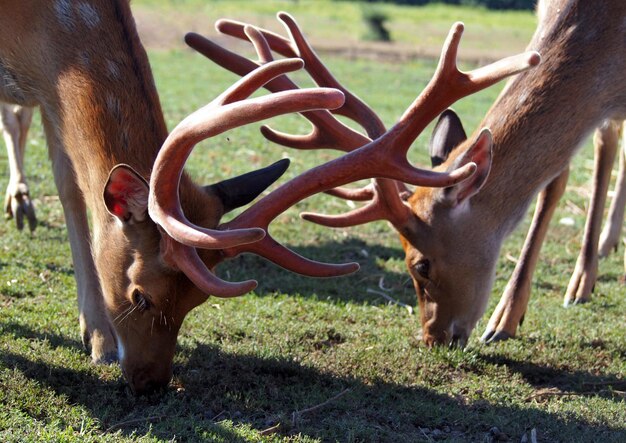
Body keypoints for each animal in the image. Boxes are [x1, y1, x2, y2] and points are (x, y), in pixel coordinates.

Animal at [201, 0, 624, 348]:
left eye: (421, 264)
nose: (433, 338)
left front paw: (504, 319)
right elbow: (556, 179)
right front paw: (508, 317)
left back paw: (585, 275)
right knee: (607, 139)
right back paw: (600, 253)